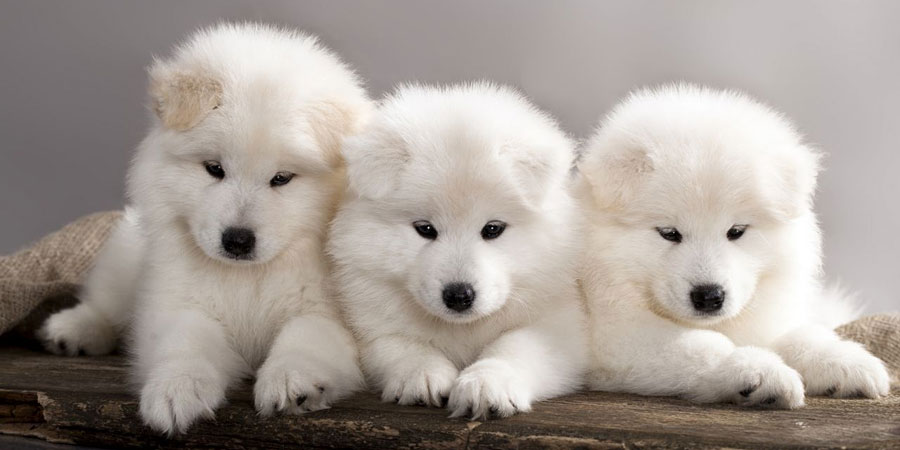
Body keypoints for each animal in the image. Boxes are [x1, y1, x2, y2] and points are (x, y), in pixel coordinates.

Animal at [40, 22, 370, 434]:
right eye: (214, 169)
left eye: (281, 178)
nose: (237, 241)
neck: (249, 277)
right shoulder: (180, 302)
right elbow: (186, 342)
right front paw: (175, 390)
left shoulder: (330, 314)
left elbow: (305, 337)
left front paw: (291, 381)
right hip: (124, 254)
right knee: (105, 305)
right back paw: (71, 329)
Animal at [326, 83, 588, 418]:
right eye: (425, 229)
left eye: (493, 229)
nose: (459, 296)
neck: (462, 329)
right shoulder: (370, 322)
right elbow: (401, 343)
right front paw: (422, 375)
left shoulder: (558, 325)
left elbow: (515, 346)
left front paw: (486, 384)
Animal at [576, 85, 892, 412]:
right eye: (669, 233)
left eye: (736, 231)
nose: (709, 296)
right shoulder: (615, 337)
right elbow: (702, 346)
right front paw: (759, 372)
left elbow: (798, 335)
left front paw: (842, 361)